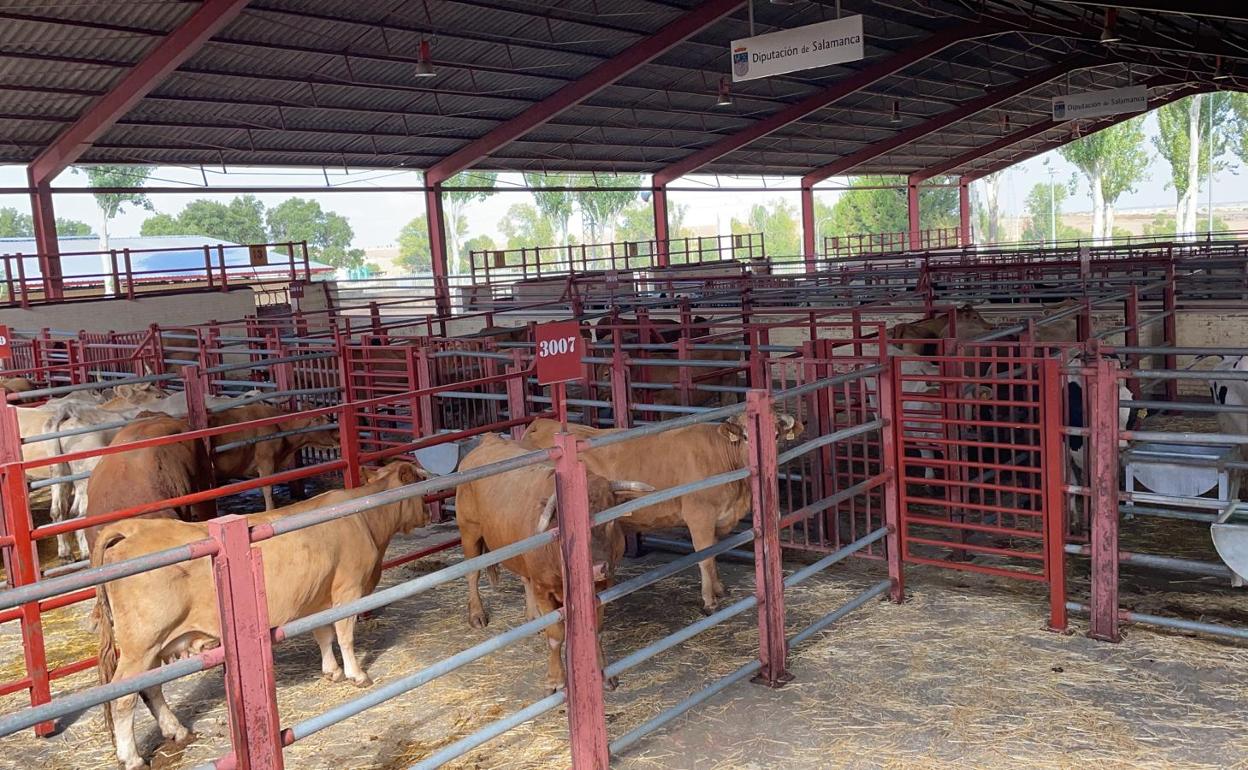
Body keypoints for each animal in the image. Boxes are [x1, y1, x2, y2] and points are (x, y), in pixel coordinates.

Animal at [90, 459, 431, 768]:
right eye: (421, 481)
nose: (429, 512)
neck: (367, 518)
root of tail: (136, 528)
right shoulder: (347, 591)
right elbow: (344, 635)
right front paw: (356, 674)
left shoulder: (318, 598)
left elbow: (323, 635)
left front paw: (331, 670)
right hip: (141, 644)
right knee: (123, 698)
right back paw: (132, 757)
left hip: (154, 646)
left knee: (151, 687)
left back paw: (176, 731)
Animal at [459, 431, 653, 688]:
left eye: (611, 519)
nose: (597, 569)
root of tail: (490, 439)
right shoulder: (544, 590)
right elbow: (555, 636)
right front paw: (555, 678)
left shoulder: (603, 587)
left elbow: (598, 630)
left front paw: (604, 672)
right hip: (469, 532)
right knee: (473, 574)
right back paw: (477, 614)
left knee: (524, 578)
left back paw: (533, 616)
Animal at [521, 411, 803, 616]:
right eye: (745, 436)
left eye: (777, 434)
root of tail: (540, 423)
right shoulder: (699, 517)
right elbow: (705, 558)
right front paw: (709, 601)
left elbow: (715, 553)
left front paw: (719, 588)